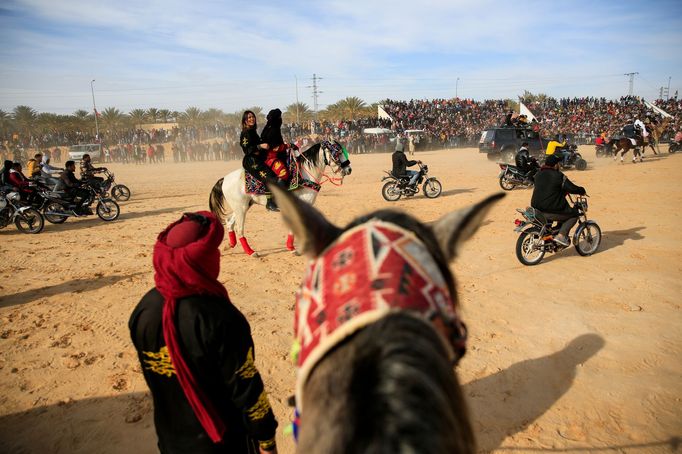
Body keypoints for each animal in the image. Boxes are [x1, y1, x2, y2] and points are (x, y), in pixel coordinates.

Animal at [209, 140, 350, 258]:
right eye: (337, 152)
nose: (349, 169)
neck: (304, 175)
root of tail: (224, 179)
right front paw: (294, 248)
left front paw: (292, 247)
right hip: (241, 208)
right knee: (240, 229)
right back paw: (251, 252)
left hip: (243, 206)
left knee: (229, 222)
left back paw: (230, 245)